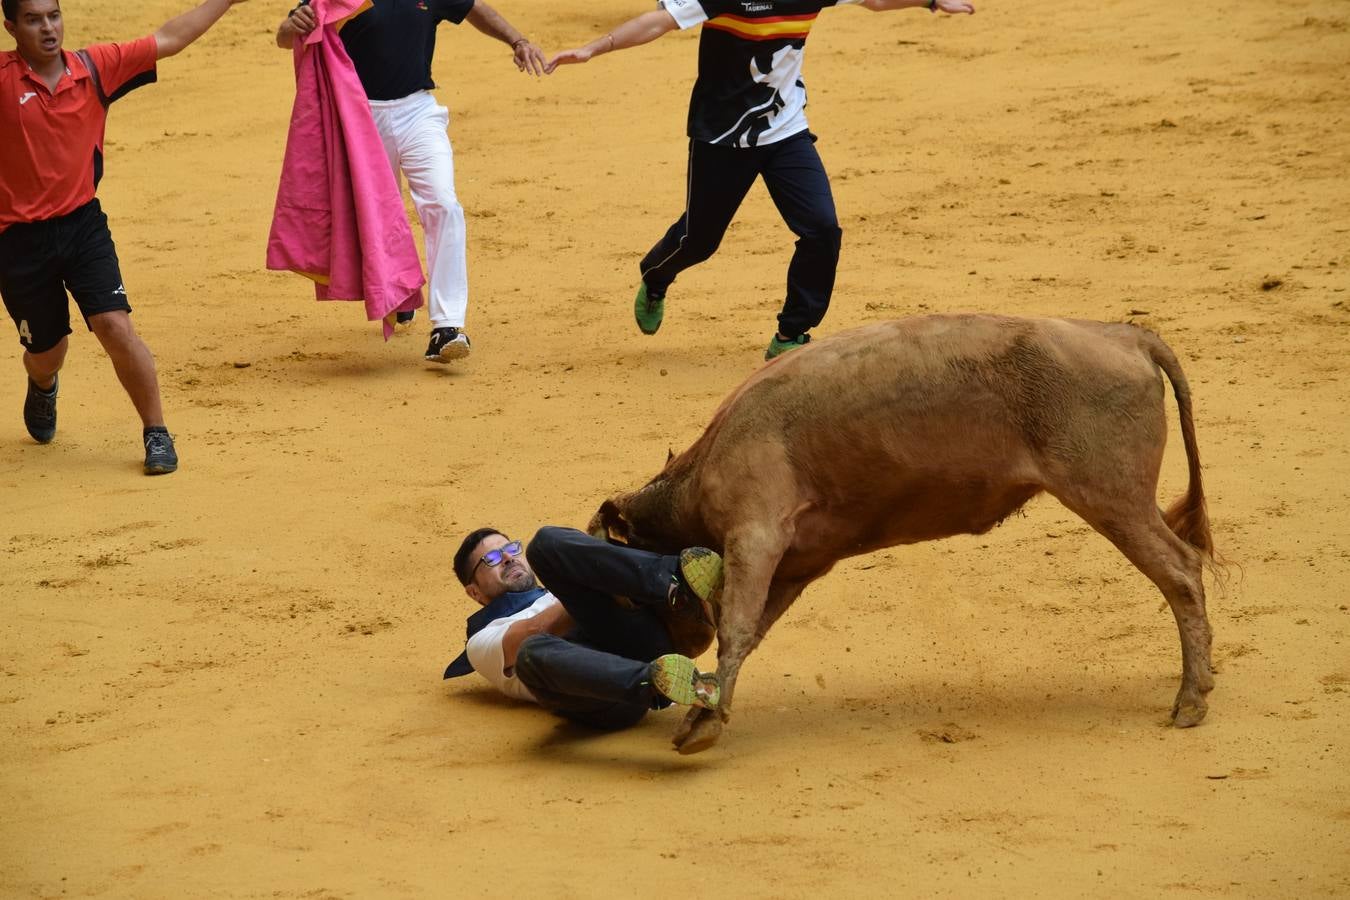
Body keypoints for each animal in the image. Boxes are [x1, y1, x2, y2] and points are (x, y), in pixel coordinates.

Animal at [591, 313, 1225, 755]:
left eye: (629, 593)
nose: (678, 645)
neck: (701, 469)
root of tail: (1127, 337)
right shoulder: (798, 561)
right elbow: (751, 628)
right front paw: (704, 710)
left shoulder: (756, 532)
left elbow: (737, 625)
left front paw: (703, 719)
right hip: (1123, 499)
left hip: (1111, 498)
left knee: (1179, 571)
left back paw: (1191, 700)